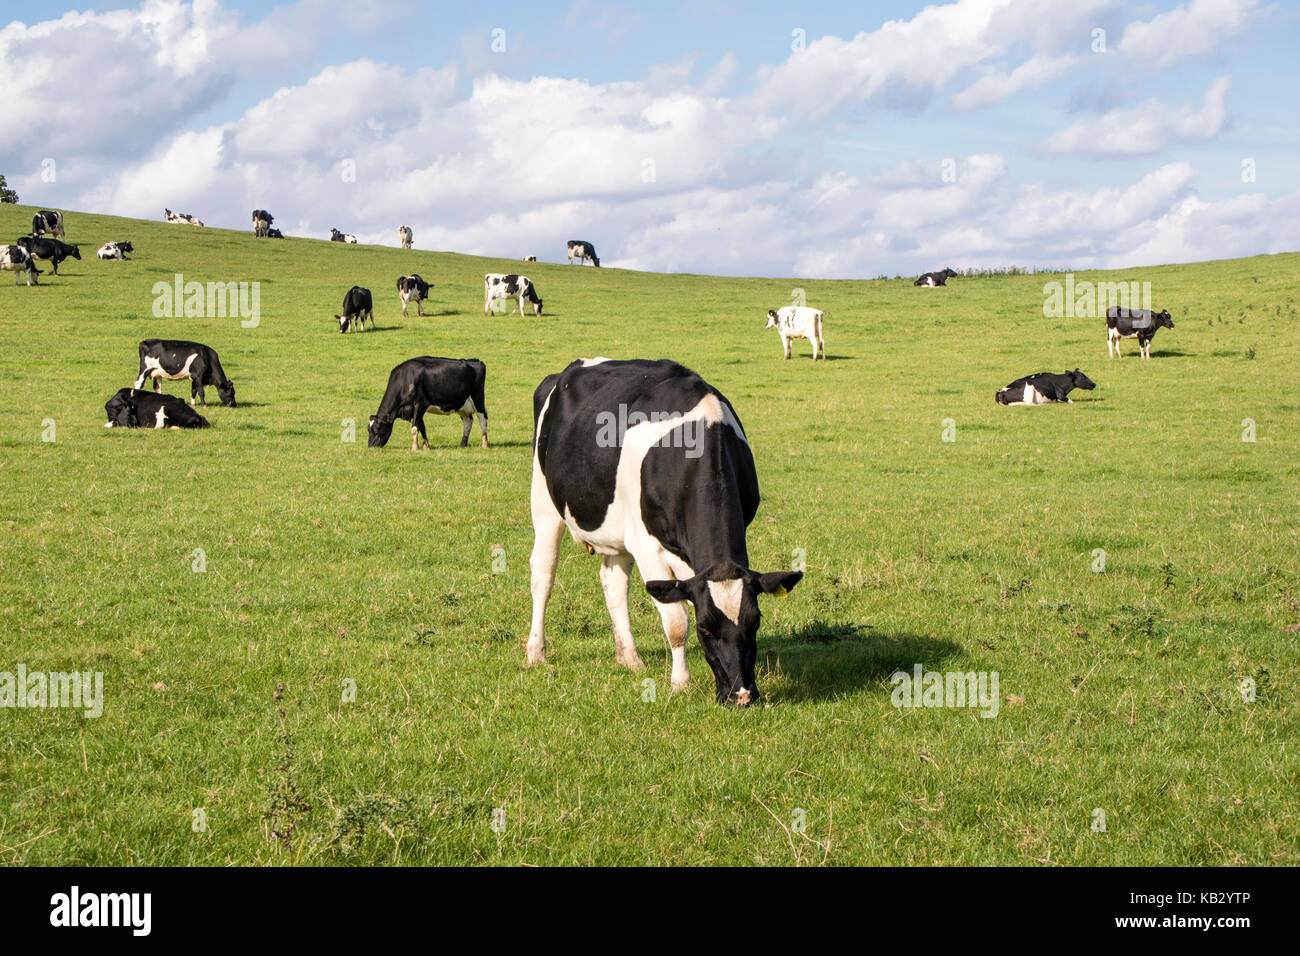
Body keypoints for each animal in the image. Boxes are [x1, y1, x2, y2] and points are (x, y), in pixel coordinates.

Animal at [526, 358, 801, 705]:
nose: (741, 695)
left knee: (613, 583)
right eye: (706, 629)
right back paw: (536, 652)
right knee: (543, 575)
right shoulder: (647, 547)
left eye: (755, 623)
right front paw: (680, 683)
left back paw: (629, 658)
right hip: (545, 502)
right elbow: (676, 623)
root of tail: (566, 370)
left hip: (619, 528)